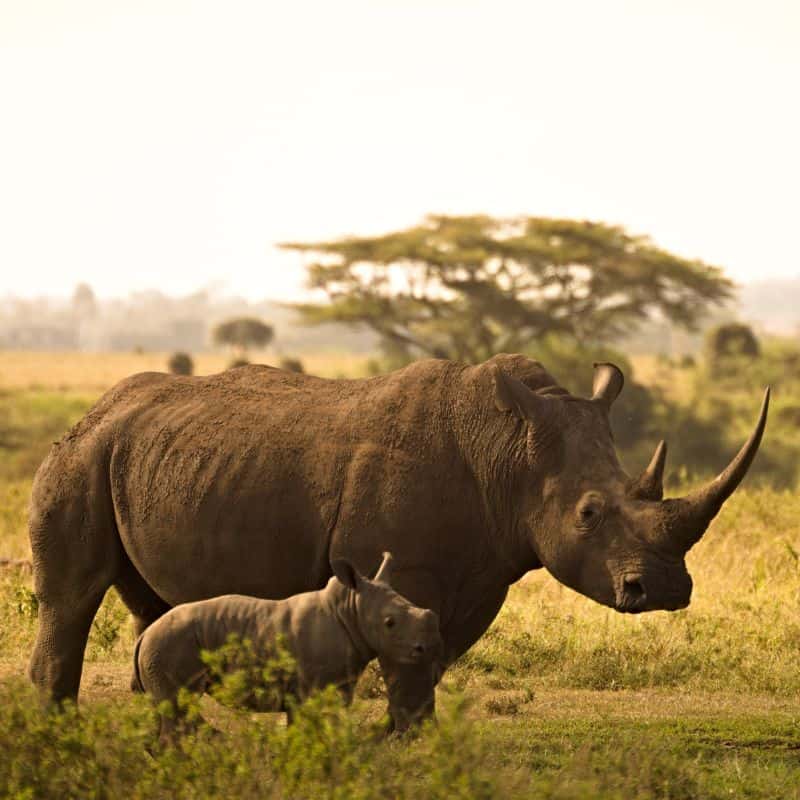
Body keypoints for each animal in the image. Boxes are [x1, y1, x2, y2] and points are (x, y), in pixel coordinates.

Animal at [134, 552, 440, 744]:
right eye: (389, 623)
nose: (428, 648)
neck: (350, 609)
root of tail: (145, 635)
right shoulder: (311, 688)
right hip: (169, 645)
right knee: (177, 710)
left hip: (162, 647)